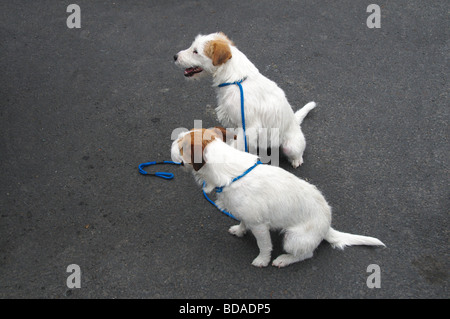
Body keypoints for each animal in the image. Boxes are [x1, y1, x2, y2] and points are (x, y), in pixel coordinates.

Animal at [171, 127, 384, 268]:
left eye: (181, 146)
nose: (172, 140)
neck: (231, 171)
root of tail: (327, 228)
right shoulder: (247, 216)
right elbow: (242, 222)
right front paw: (239, 230)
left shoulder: (260, 226)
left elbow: (264, 246)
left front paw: (262, 261)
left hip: (293, 238)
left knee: (307, 254)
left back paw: (284, 259)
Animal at [173, 31, 316, 168]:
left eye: (196, 51)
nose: (175, 56)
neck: (236, 80)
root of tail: (296, 122)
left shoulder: (249, 128)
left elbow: (238, 146)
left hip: (290, 146)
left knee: (297, 153)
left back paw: (296, 160)